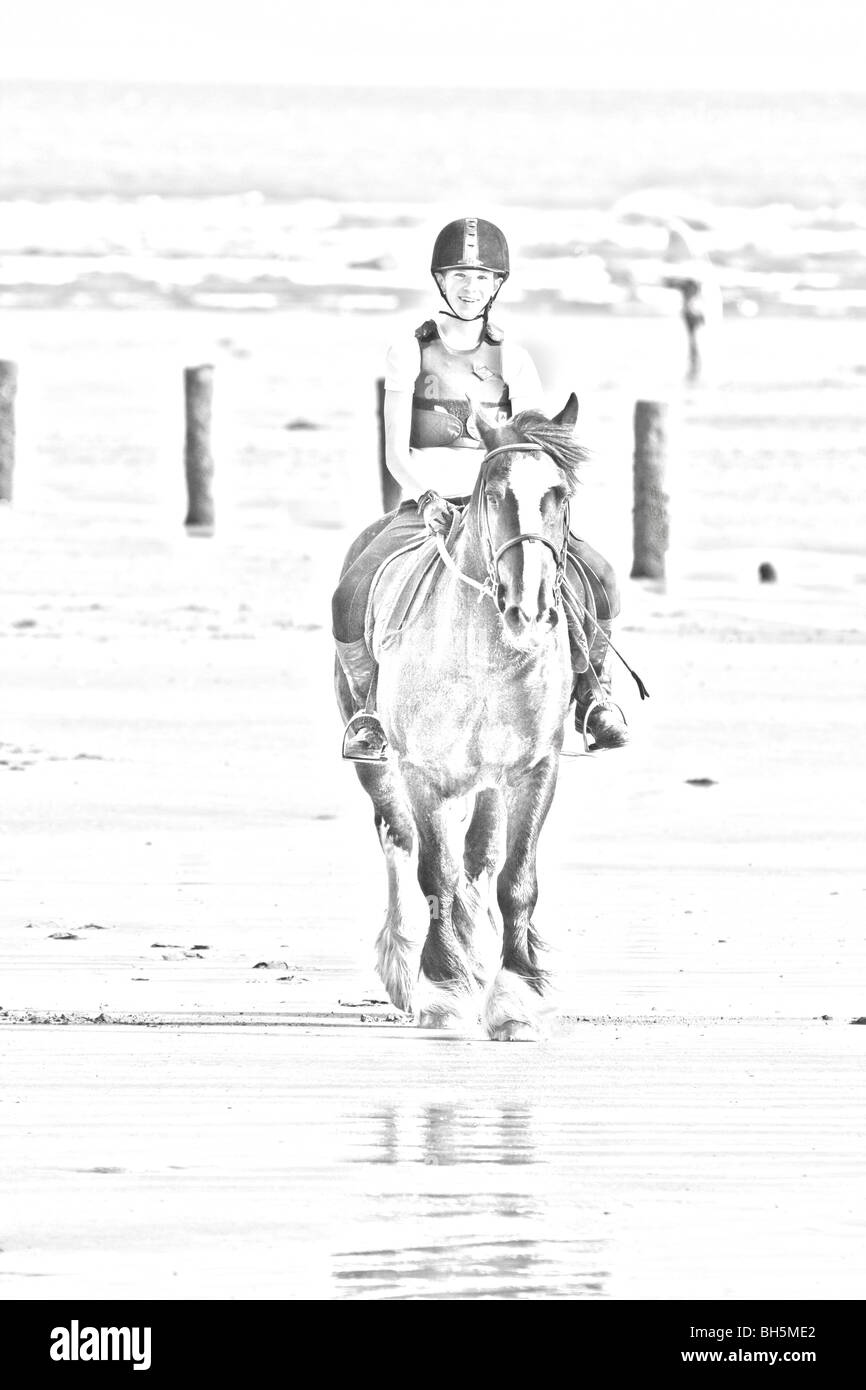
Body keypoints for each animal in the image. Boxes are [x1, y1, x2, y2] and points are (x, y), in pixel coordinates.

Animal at [333, 397, 589, 1039]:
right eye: (494, 495)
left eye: (559, 494)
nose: (530, 608)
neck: (487, 657)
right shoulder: (424, 774)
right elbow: (434, 873)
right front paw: (445, 988)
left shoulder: (533, 770)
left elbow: (515, 880)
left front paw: (516, 995)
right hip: (379, 762)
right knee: (400, 842)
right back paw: (406, 968)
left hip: (488, 782)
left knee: (479, 860)